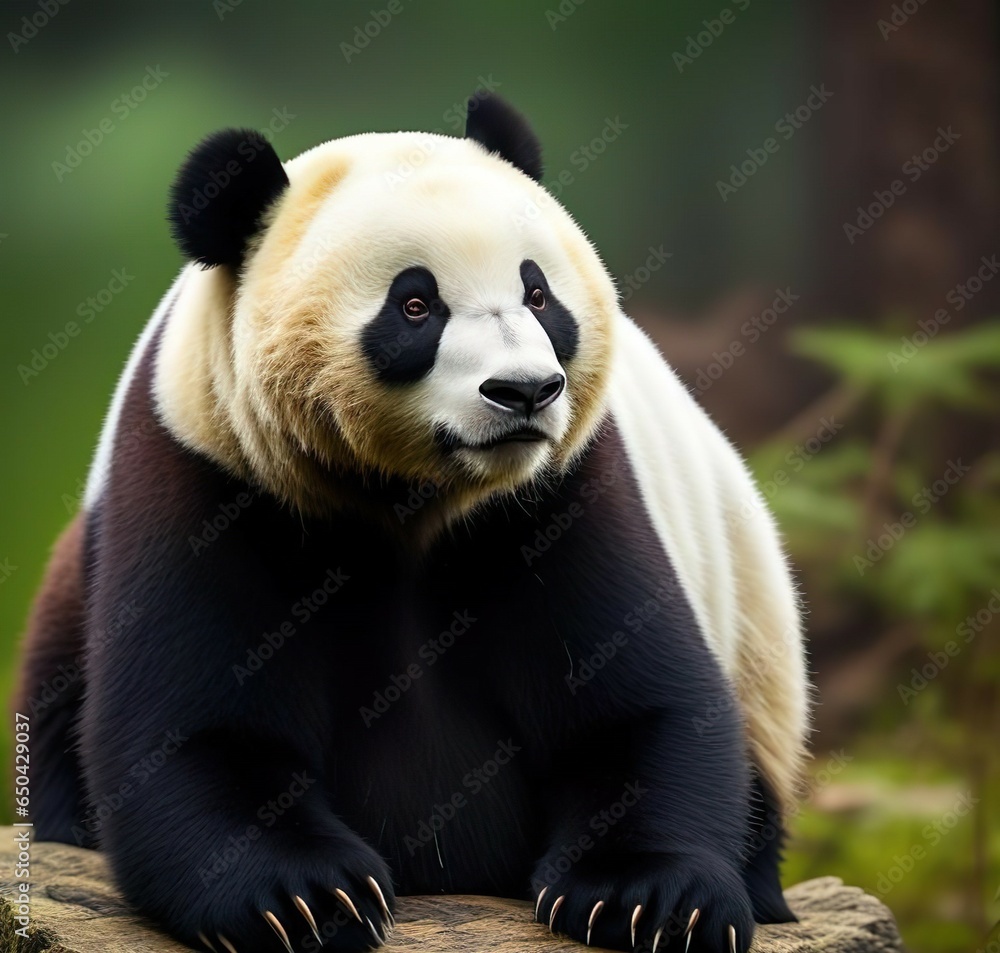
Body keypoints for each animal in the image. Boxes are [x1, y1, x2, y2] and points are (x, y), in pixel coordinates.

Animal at [17, 93, 809, 953]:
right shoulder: (211, 472)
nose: (524, 391)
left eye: (539, 295)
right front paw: (306, 897)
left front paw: (650, 898)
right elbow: (194, 731)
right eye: (416, 304)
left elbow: (642, 705)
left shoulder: (561, 492)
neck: (412, 501)